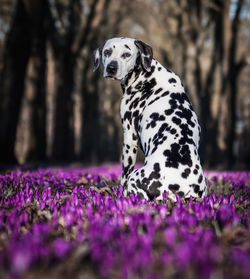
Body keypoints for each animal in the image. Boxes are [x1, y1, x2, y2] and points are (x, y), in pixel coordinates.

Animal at [94, 37, 207, 201]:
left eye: (126, 54)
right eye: (107, 52)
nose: (111, 68)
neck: (147, 78)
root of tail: (176, 190)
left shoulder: (129, 138)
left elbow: (124, 174)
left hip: (135, 176)